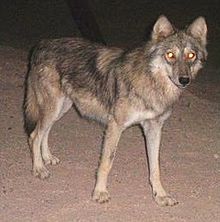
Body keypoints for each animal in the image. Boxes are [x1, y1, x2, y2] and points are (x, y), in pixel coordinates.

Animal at [24, 15, 208, 206]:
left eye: (191, 55)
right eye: (170, 55)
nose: (184, 80)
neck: (151, 81)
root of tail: (43, 43)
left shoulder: (154, 128)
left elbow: (155, 167)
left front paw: (161, 195)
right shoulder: (115, 126)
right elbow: (106, 163)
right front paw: (99, 192)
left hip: (60, 108)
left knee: (44, 132)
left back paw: (47, 158)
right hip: (53, 108)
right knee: (34, 136)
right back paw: (39, 168)